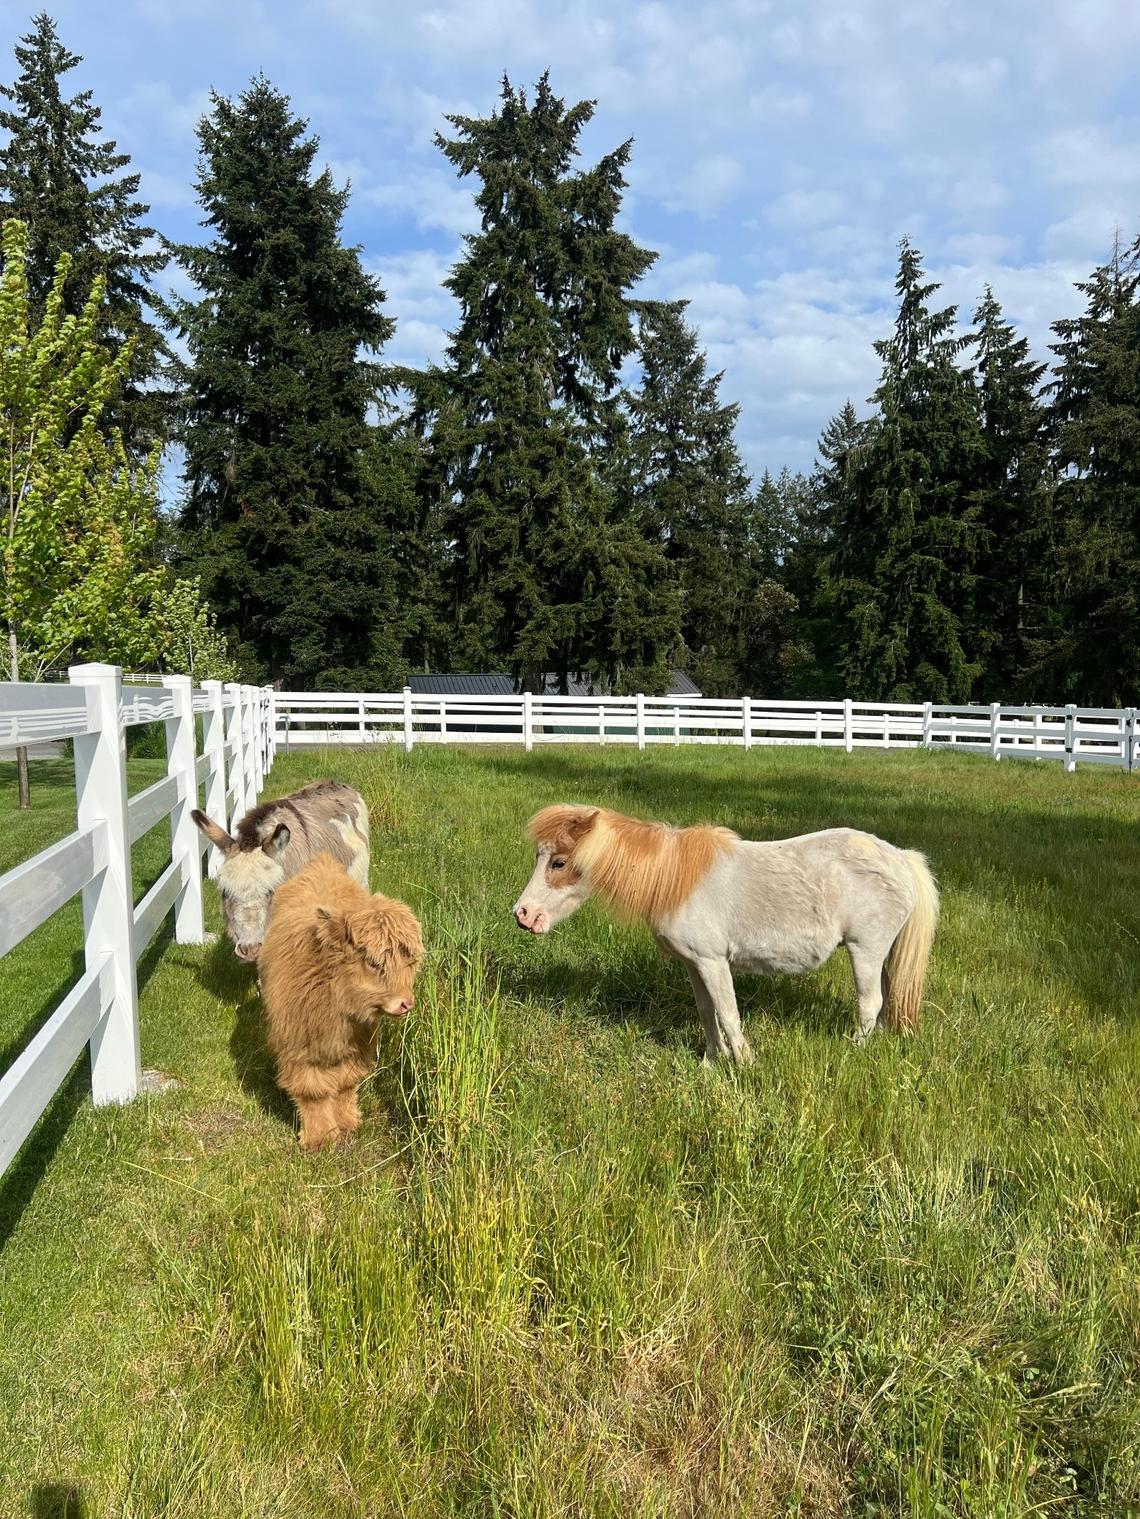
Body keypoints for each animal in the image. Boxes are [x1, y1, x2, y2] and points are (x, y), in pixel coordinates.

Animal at [512, 804, 939, 1063]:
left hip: (865, 950)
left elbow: (729, 1014)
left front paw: (744, 1063)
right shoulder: (693, 964)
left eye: (559, 862)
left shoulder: (713, 961)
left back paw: (851, 1051)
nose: (523, 915)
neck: (673, 878)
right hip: (881, 955)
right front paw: (711, 1061)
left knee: (869, 1004)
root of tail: (902, 859)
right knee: (885, 1001)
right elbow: (707, 1012)